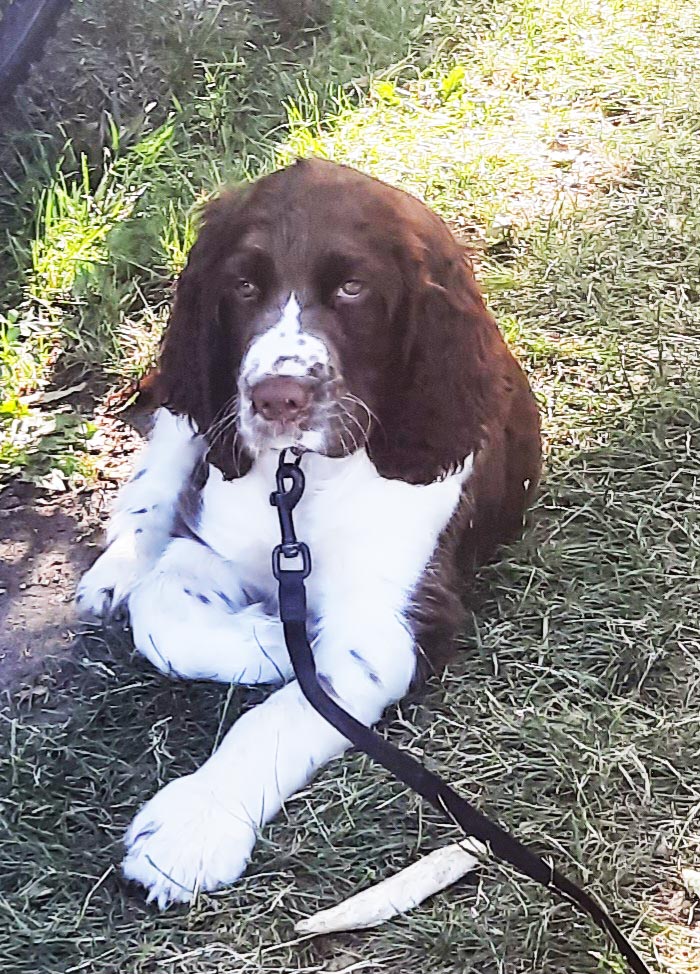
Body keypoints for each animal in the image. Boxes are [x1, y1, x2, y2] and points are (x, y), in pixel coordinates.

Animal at [75, 156, 540, 912]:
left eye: (353, 288)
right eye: (243, 285)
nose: (276, 398)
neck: (301, 479)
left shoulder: (384, 624)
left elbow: (287, 712)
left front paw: (193, 825)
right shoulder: (211, 545)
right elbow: (163, 615)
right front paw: (271, 641)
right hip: (196, 405)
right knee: (155, 485)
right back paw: (115, 573)